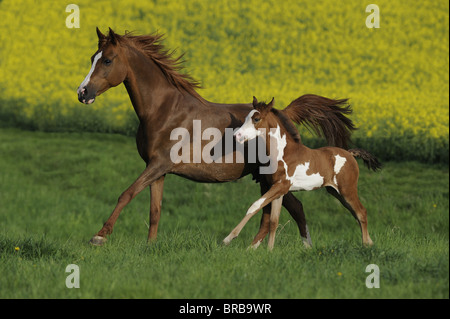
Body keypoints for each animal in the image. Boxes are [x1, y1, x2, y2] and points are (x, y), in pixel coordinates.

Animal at [78, 28, 358, 248]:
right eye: (92, 58)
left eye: (108, 61)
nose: (82, 92)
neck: (164, 110)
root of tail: (283, 113)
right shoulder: (157, 169)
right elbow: (154, 210)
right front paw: (150, 246)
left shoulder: (158, 164)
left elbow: (126, 194)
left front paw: (99, 237)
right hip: (266, 178)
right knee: (280, 209)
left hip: (273, 177)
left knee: (287, 208)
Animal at [223, 97, 382, 250]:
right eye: (245, 118)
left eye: (256, 119)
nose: (237, 135)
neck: (283, 154)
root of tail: (350, 154)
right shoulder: (278, 190)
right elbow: (274, 220)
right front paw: (269, 250)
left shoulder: (281, 186)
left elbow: (255, 206)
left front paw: (228, 239)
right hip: (335, 192)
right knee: (356, 213)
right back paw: (369, 243)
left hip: (347, 190)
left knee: (361, 212)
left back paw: (366, 245)